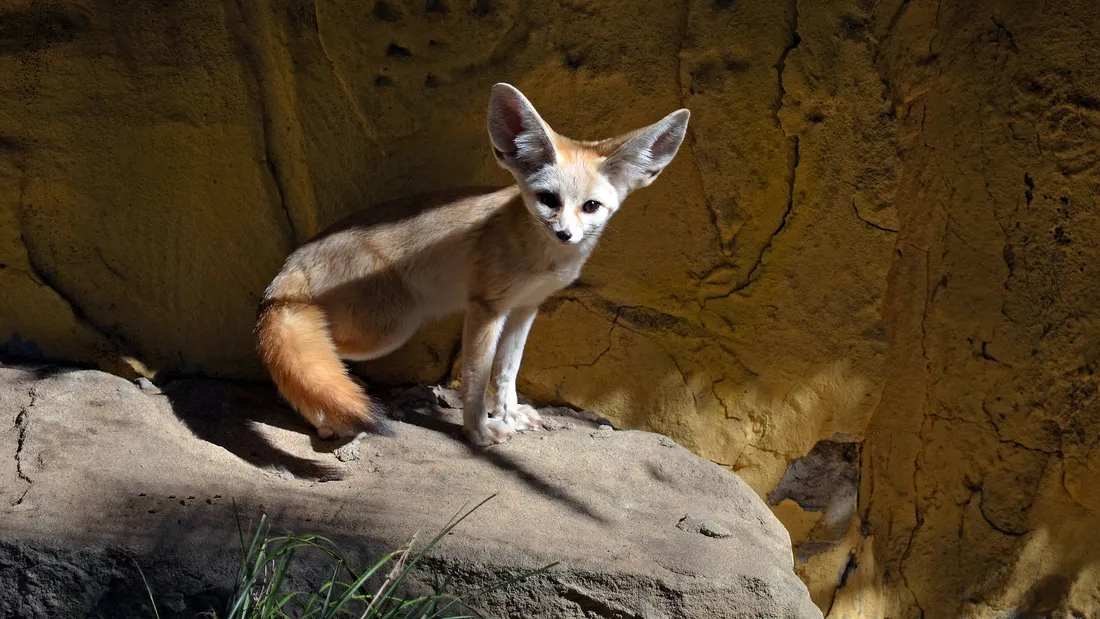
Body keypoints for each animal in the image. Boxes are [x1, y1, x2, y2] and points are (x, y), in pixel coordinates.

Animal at [255, 83, 689, 446]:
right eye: (548, 200)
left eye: (591, 206)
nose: (565, 234)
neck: (541, 256)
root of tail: (292, 262)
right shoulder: (486, 308)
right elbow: (478, 380)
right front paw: (479, 430)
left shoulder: (525, 307)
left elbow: (507, 370)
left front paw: (509, 412)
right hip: (388, 329)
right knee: (313, 355)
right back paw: (327, 420)